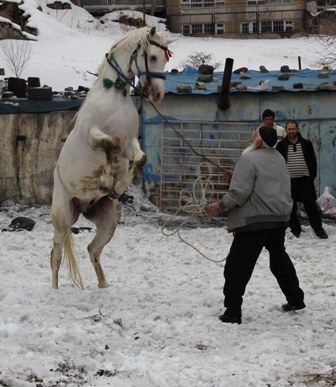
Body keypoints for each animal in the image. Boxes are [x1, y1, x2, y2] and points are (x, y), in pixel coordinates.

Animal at [51, 26, 176, 288]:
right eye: (152, 57)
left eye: (165, 59)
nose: (158, 94)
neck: (113, 95)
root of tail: (82, 208)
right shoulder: (94, 135)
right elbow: (108, 144)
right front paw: (107, 181)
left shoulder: (129, 144)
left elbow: (140, 159)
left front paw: (116, 187)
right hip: (62, 218)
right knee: (55, 255)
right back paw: (54, 290)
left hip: (109, 221)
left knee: (93, 250)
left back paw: (103, 286)